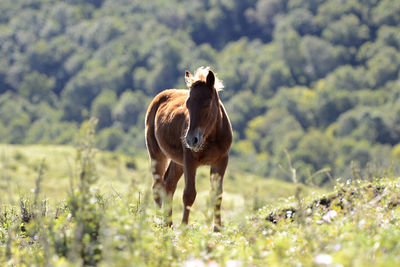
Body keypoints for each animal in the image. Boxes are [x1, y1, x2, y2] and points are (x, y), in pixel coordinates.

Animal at [145, 67, 231, 232]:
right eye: (188, 103)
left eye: (207, 103)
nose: (191, 139)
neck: (211, 137)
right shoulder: (190, 161)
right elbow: (189, 194)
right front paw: (184, 227)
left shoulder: (221, 161)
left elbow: (217, 194)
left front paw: (217, 229)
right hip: (157, 155)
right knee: (157, 188)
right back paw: (161, 222)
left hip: (178, 162)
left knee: (168, 185)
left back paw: (168, 223)